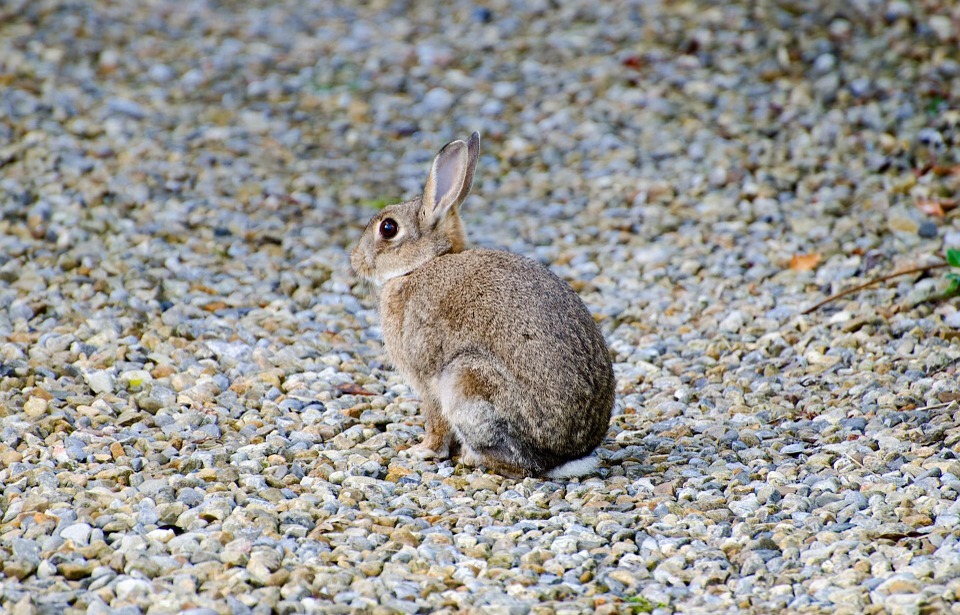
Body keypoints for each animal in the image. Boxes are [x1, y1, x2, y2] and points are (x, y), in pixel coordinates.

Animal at [352, 132, 616, 478]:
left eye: (388, 228)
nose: (355, 261)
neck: (423, 264)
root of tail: (566, 458)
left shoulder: (428, 379)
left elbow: (435, 421)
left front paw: (422, 452)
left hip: (466, 380)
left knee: (520, 463)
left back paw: (471, 458)